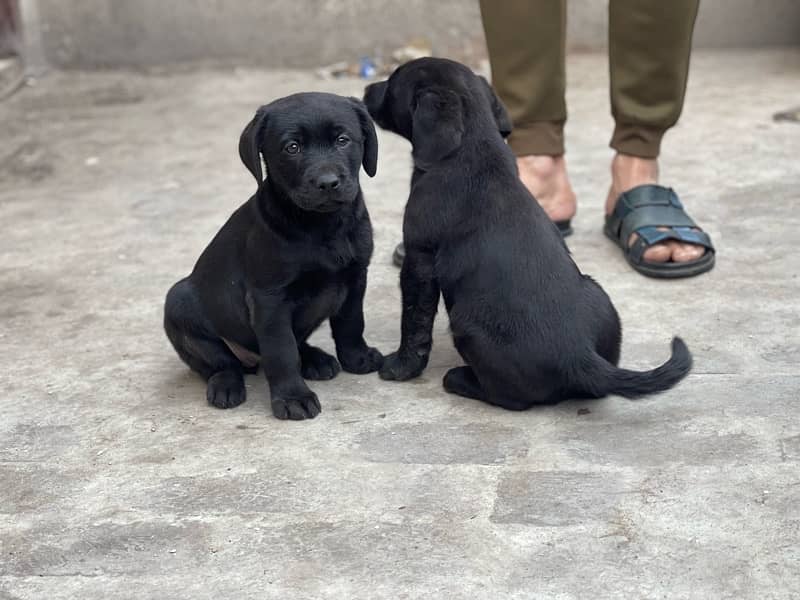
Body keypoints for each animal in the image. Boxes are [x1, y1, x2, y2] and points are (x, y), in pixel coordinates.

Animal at [164, 95, 382, 422]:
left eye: (343, 140)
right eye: (292, 147)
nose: (327, 182)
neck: (321, 226)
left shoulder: (356, 277)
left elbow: (351, 323)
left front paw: (357, 358)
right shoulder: (269, 298)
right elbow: (281, 350)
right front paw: (293, 397)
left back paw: (316, 359)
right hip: (178, 302)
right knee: (221, 363)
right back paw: (226, 385)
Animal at [366, 58, 692, 410]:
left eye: (393, 83)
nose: (366, 90)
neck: (471, 149)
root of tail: (579, 355)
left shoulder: (419, 259)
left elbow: (414, 321)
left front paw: (400, 367)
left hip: (467, 322)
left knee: (511, 397)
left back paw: (460, 380)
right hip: (598, 295)